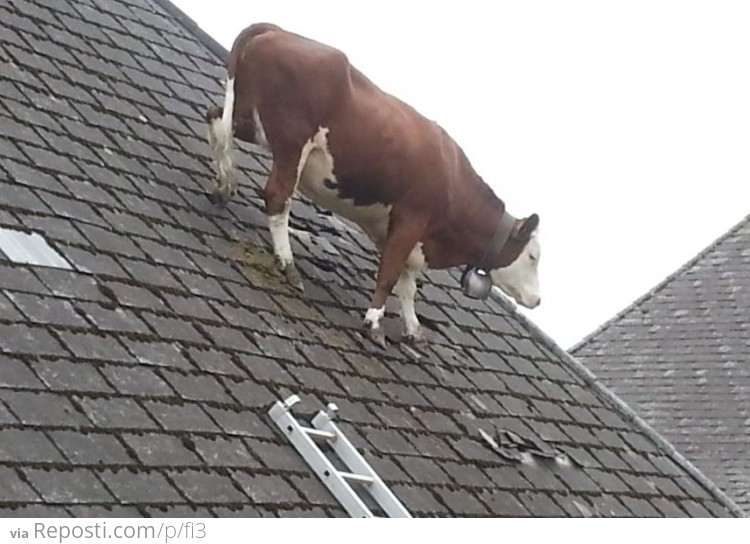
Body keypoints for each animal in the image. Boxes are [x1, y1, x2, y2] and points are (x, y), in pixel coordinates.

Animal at [209, 22, 544, 344]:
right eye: (533, 256)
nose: (538, 300)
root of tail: (275, 29)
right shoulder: (411, 219)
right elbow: (389, 275)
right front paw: (373, 324)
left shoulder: (404, 233)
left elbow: (407, 285)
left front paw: (413, 330)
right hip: (293, 142)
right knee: (278, 197)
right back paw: (287, 262)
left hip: (249, 118)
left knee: (216, 123)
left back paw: (224, 184)